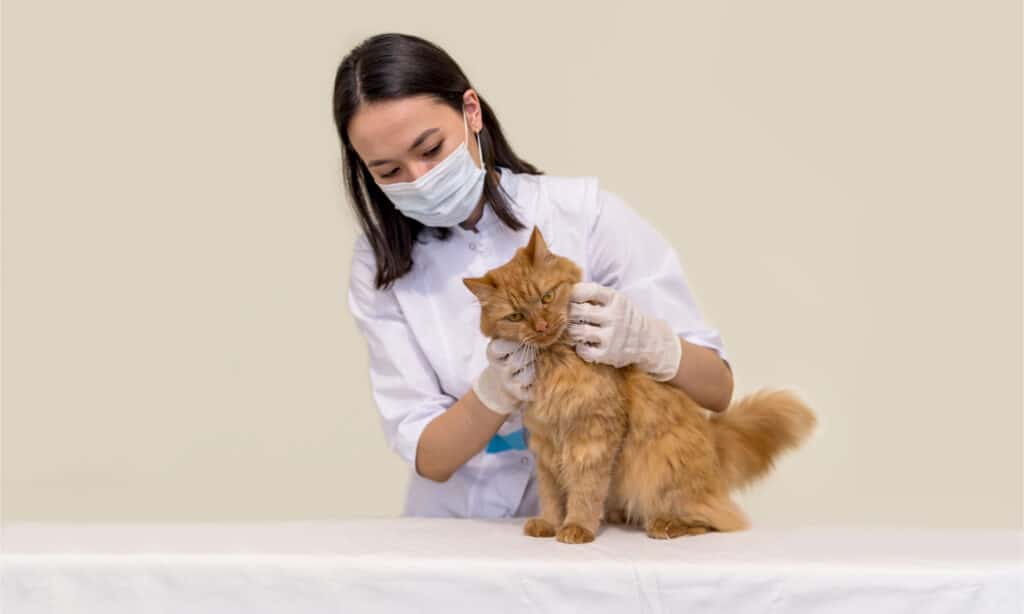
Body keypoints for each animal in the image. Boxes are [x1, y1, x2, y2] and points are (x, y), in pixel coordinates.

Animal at [464, 228, 815, 544]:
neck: (555, 362)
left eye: (547, 297)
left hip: (663, 467)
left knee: (716, 520)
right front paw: (549, 524)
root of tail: (713, 440)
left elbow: (584, 491)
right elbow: (552, 494)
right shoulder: (547, 444)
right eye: (516, 316)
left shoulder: (592, 434)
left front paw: (577, 527)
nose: (541, 326)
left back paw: (665, 526)